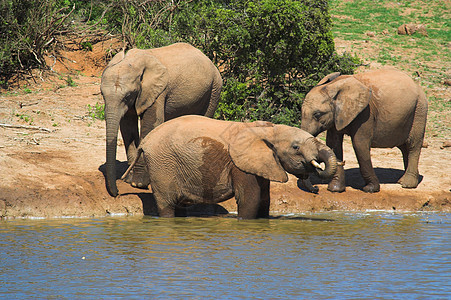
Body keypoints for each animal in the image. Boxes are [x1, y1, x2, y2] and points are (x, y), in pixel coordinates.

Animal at [101, 42, 224, 197]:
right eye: (102, 94)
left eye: (128, 95)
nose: (116, 192)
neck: (133, 61)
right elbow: (128, 127)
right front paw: (130, 180)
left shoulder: (158, 91)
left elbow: (151, 125)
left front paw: (138, 184)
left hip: (214, 89)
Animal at [122, 115, 338, 218]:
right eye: (295, 147)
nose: (316, 189)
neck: (268, 130)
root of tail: (145, 142)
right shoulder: (240, 165)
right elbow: (250, 201)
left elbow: (264, 200)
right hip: (162, 164)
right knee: (167, 204)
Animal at [302, 68, 430, 192]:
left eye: (317, 115)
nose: (316, 188)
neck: (333, 86)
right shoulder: (336, 117)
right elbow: (333, 145)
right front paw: (335, 189)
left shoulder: (365, 114)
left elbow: (359, 145)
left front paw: (370, 189)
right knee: (404, 147)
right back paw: (404, 179)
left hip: (419, 110)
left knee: (413, 145)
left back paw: (407, 184)